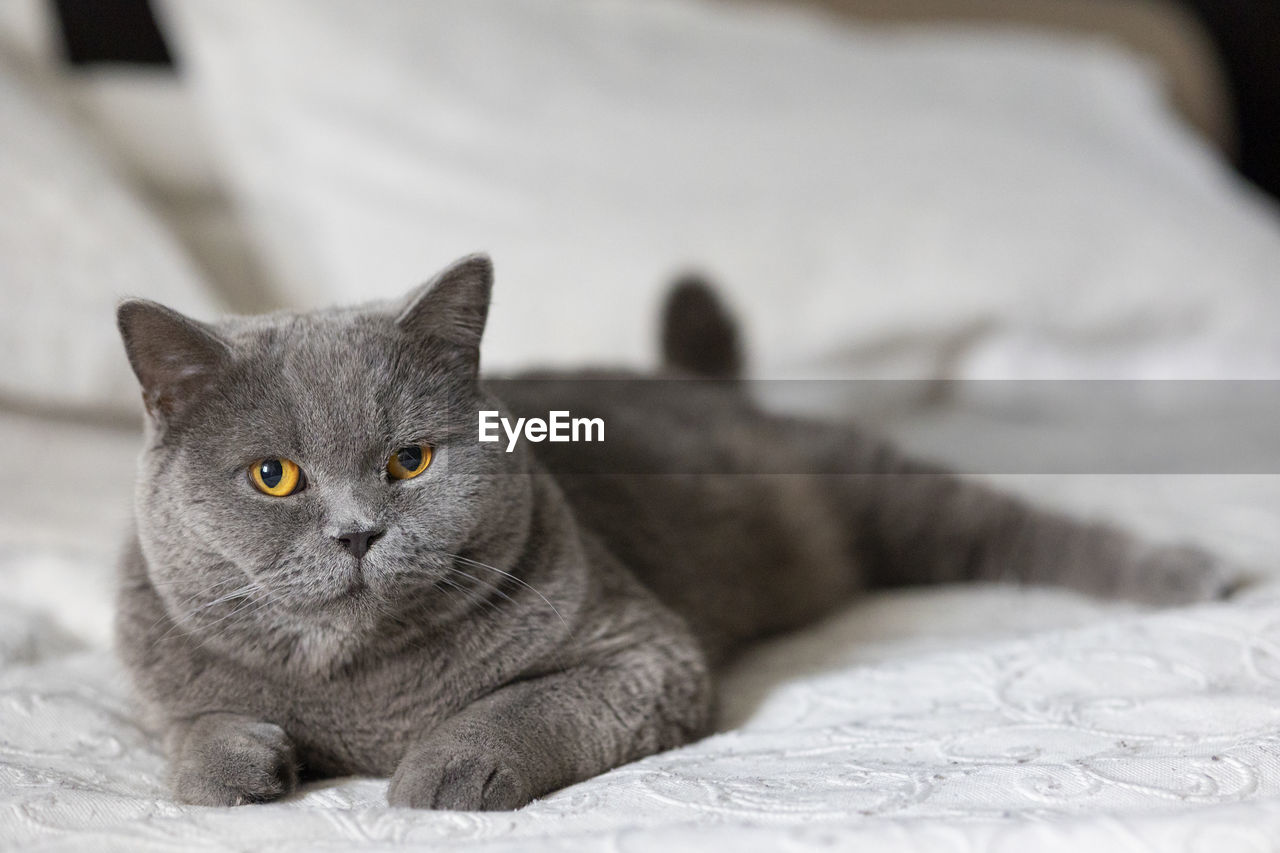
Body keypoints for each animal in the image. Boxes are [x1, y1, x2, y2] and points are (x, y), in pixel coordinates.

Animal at [117, 251, 1239, 804]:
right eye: (273, 476)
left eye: (410, 461)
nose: (357, 534)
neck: (361, 690)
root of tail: (693, 382)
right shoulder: (157, 678)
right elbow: (190, 732)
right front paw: (233, 767)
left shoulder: (640, 650)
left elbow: (523, 705)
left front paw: (443, 768)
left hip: (876, 489)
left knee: (1022, 529)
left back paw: (1196, 575)